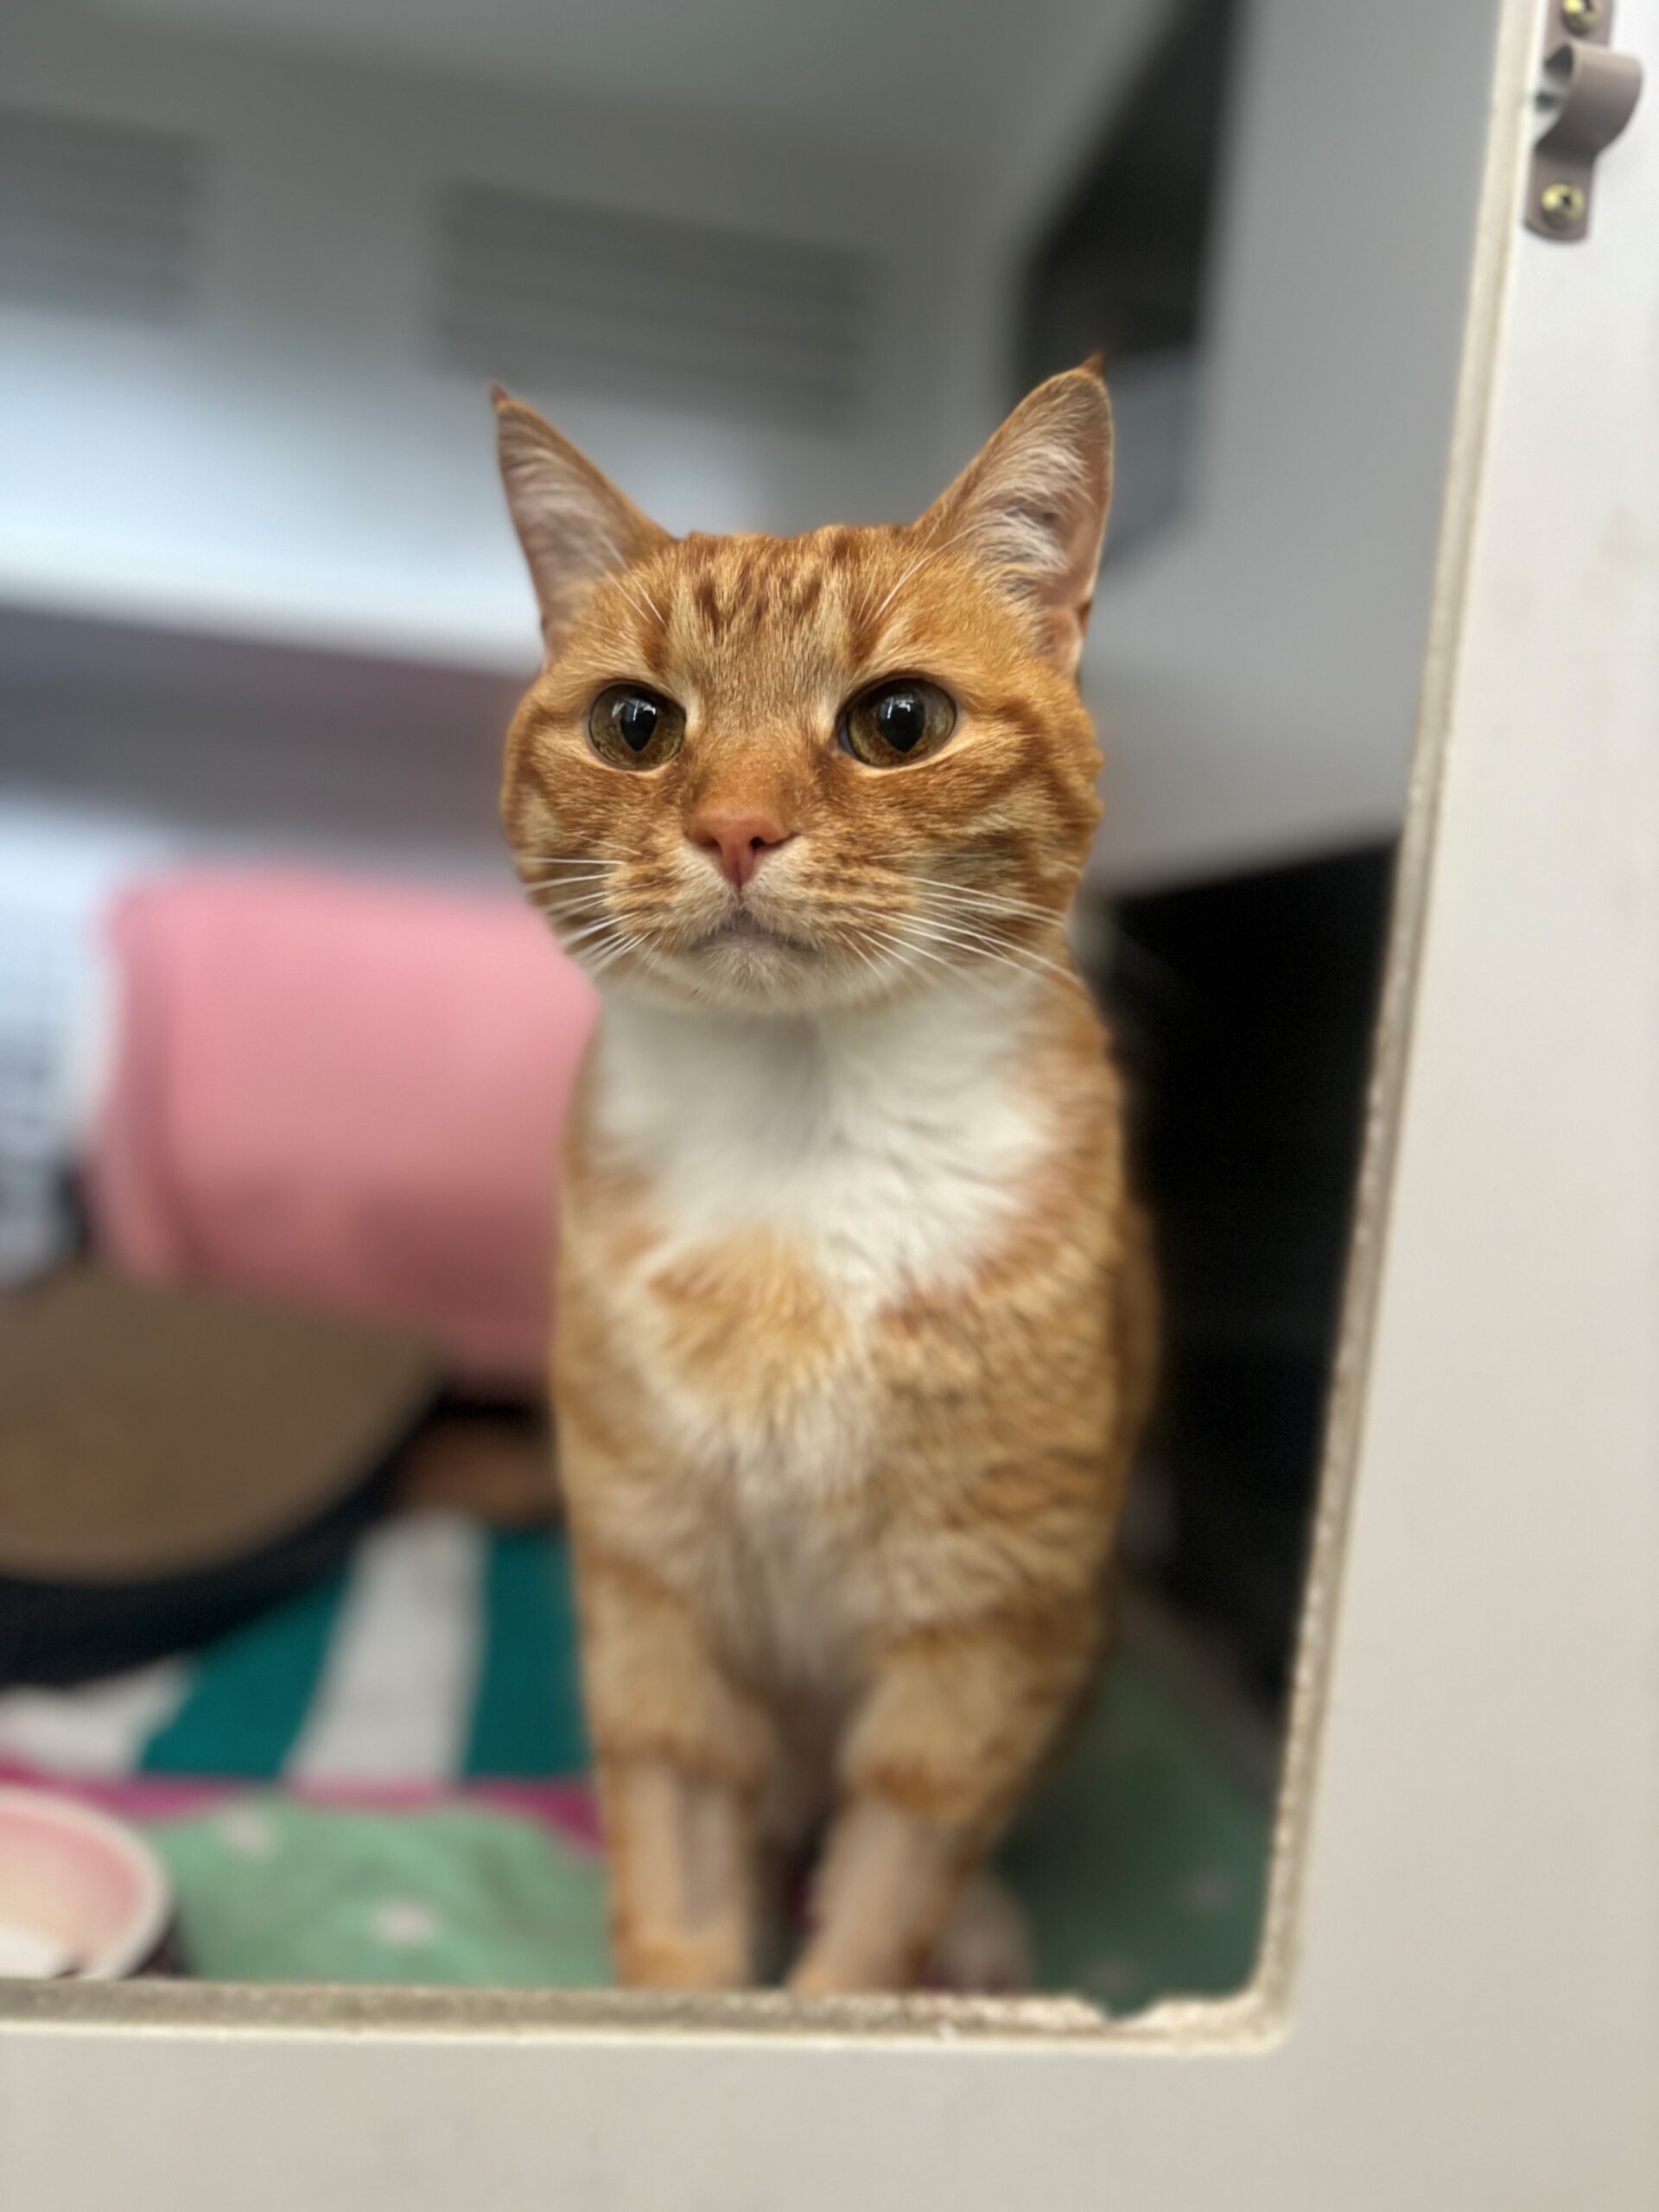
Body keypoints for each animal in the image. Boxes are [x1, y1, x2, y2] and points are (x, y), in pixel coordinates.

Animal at [493, 364, 1155, 1994]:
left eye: (896, 721)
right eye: (635, 724)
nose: (733, 828)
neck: (805, 1146)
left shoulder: (983, 1615)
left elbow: (887, 1885)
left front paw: (859, 1986)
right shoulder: (654, 1589)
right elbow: (678, 1866)